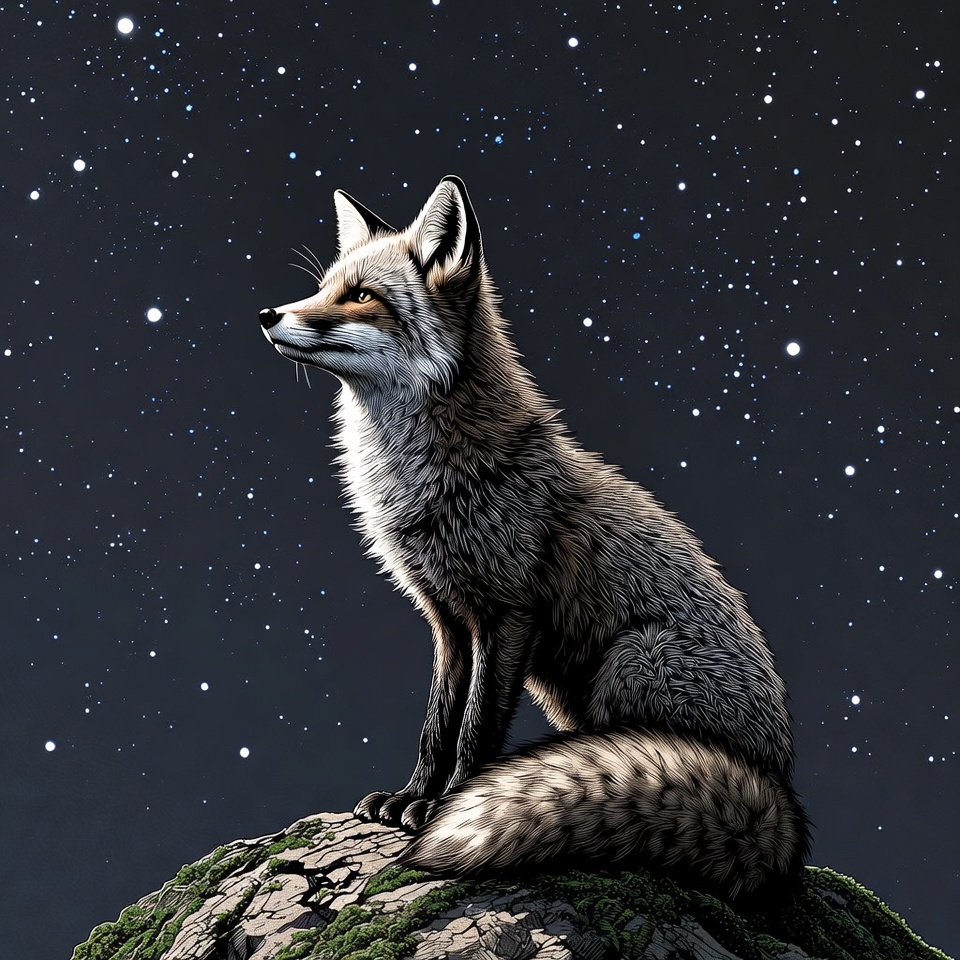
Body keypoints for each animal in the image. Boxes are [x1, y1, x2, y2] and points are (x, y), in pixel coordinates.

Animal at [259, 175, 810, 905]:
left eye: (362, 296)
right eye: (324, 287)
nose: (267, 314)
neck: (427, 477)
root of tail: (779, 790)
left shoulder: (508, 613)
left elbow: (476, 730)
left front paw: (445, 806)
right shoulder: (448, 619)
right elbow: (437, 722)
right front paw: (410, 796)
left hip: (630, 663)